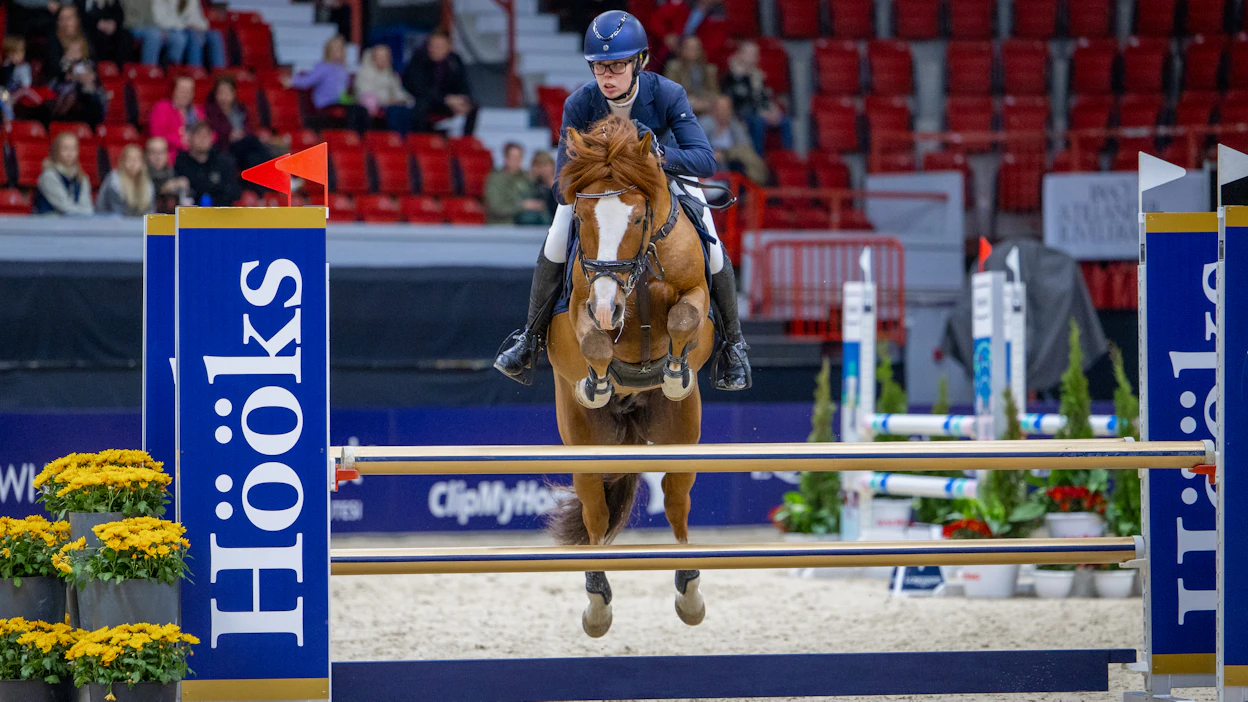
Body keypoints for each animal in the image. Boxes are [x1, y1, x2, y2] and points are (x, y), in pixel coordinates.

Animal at [544, 115, 717, 638]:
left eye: (639, 219)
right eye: (582, 220)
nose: (608, 308)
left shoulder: (693, 293)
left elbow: (684, 317)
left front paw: (675, 371)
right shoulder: (580, 308)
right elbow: (596, 344)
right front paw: (598, 383)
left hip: (681, 433)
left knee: (677, 503)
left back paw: (689, 592)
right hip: (585, 443)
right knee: (596, 515)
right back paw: (597, 605)